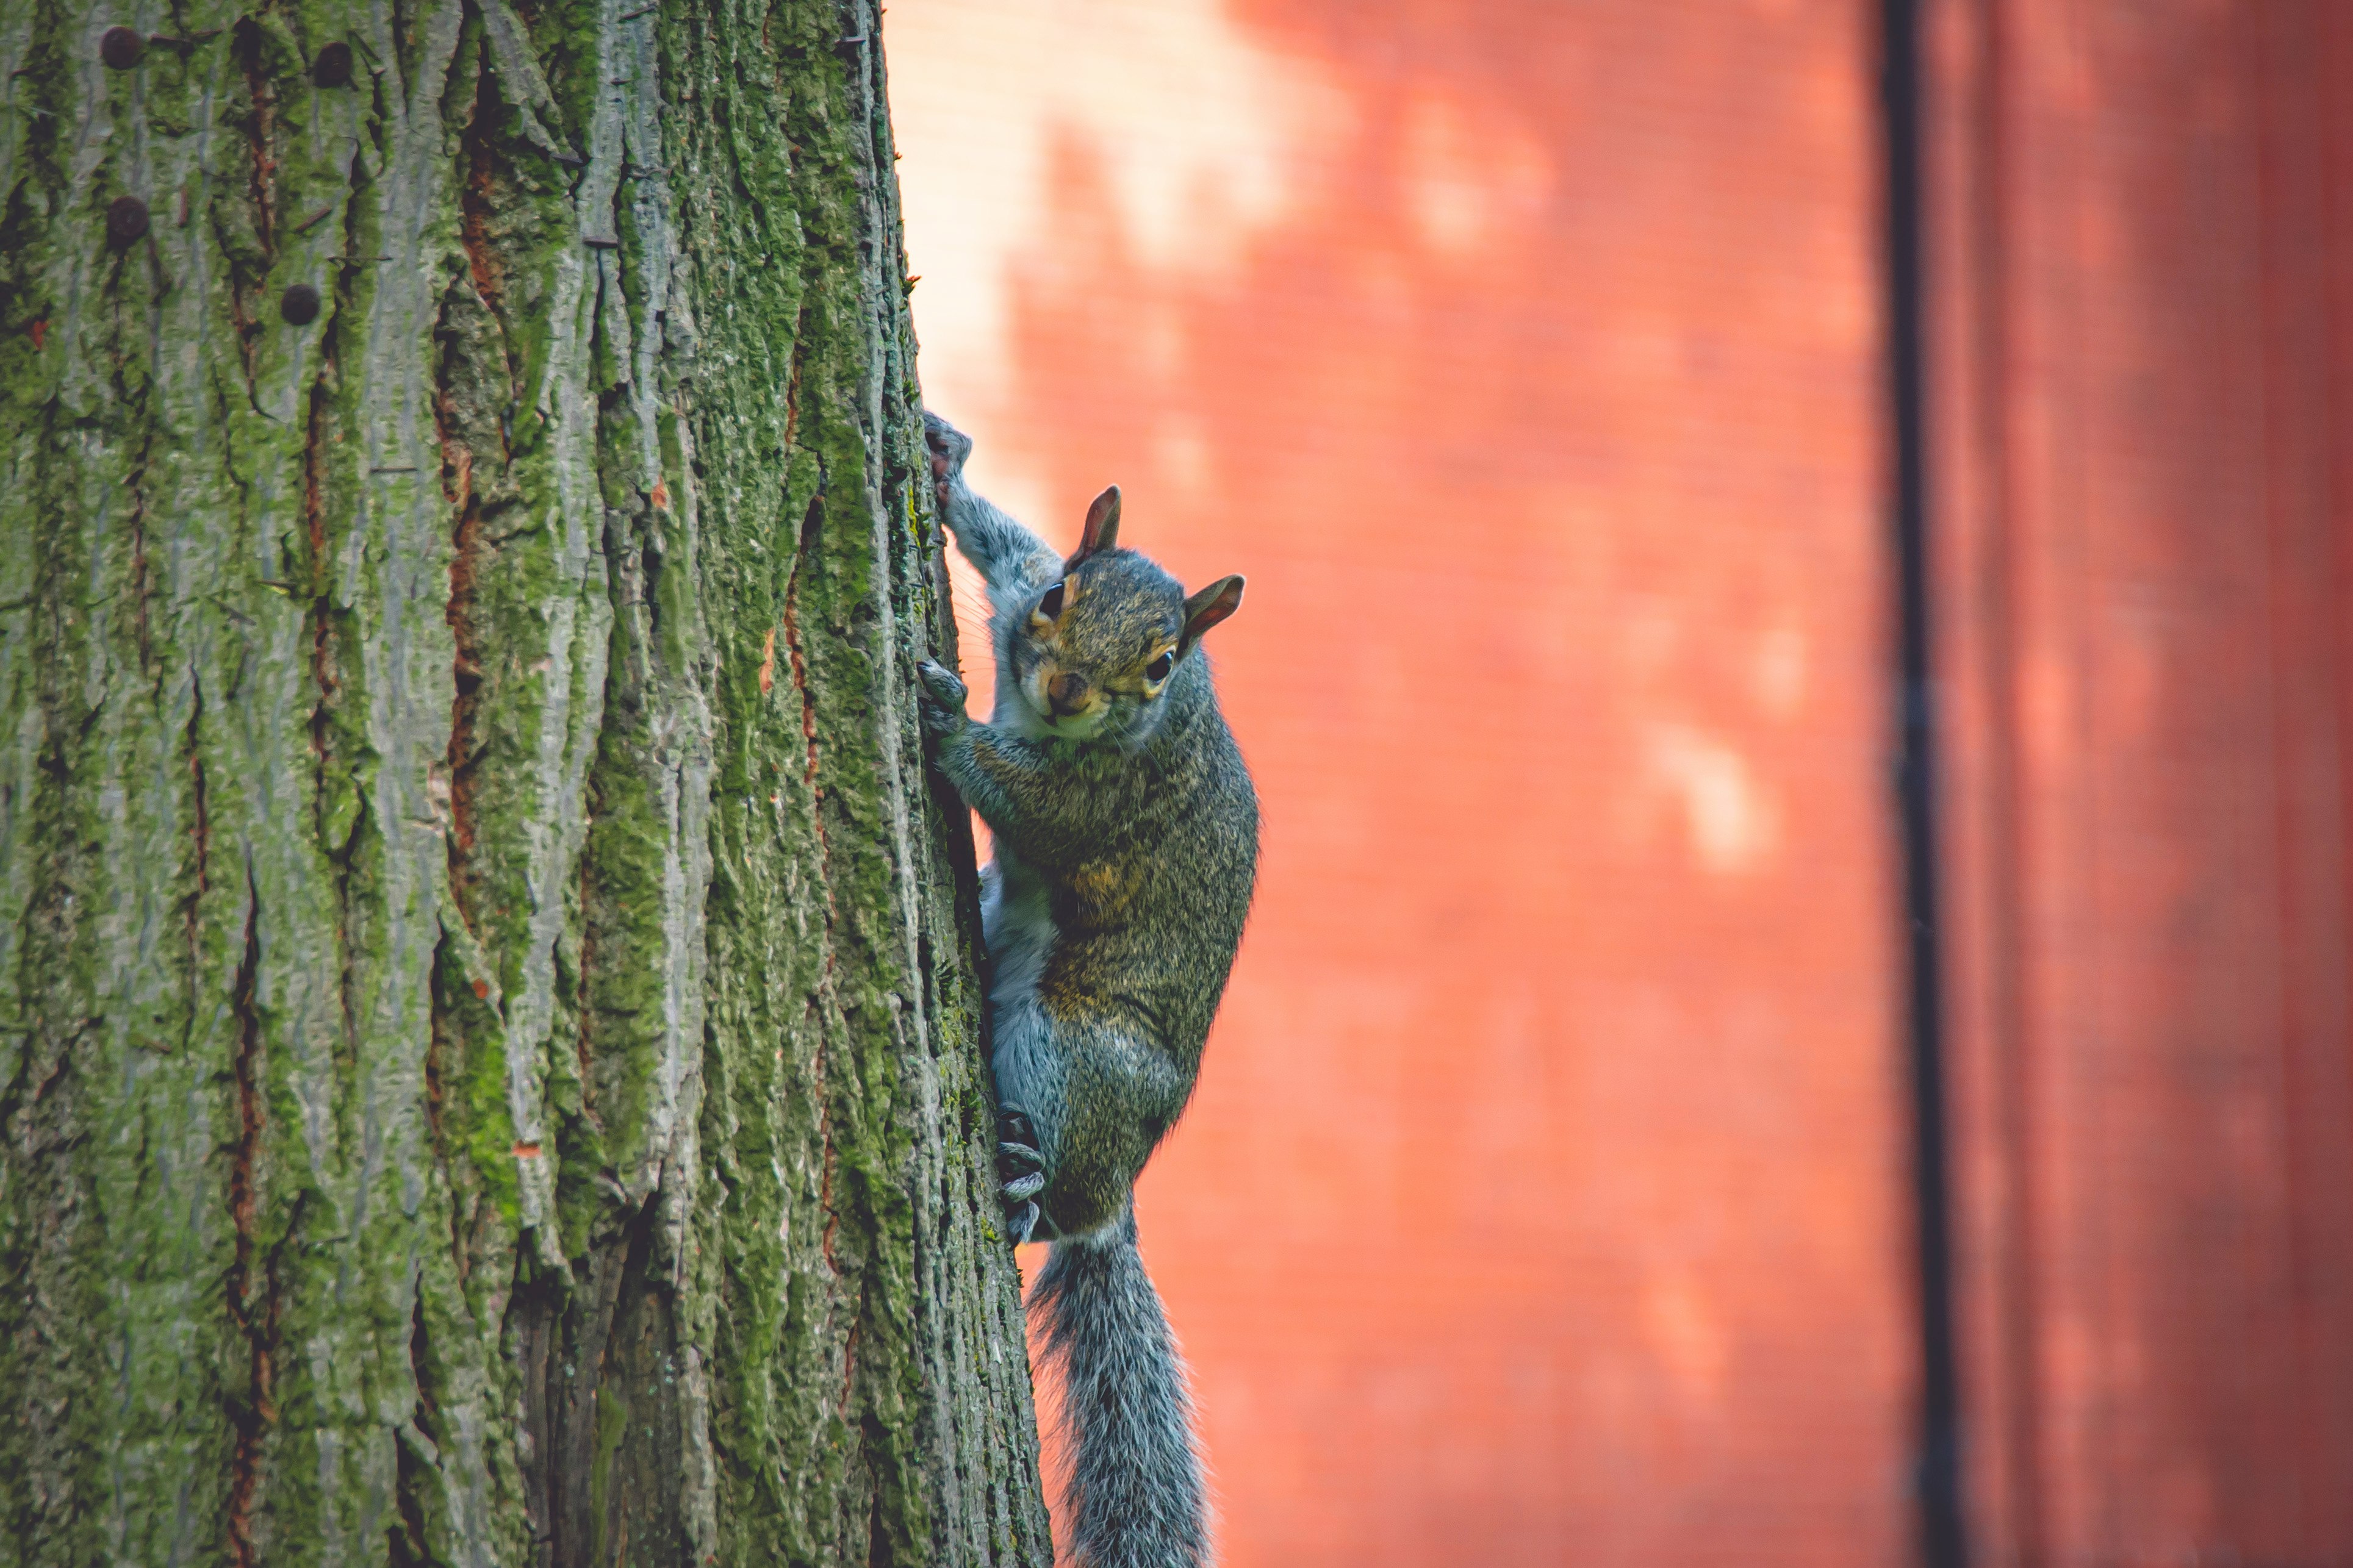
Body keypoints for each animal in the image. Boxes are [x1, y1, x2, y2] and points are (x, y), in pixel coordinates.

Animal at [913, 413, 1261, 1568]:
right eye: (1063, 594)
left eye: (1160, 663)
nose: (1063, 691)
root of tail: (1122, 1195)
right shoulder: (1019, 591)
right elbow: (1003, 551)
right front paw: (947, 468)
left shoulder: (1106, 803)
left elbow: (1034, 807)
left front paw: (950, 725)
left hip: (1073, 1046)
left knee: (1059, 1201)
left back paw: (1026, 1183)